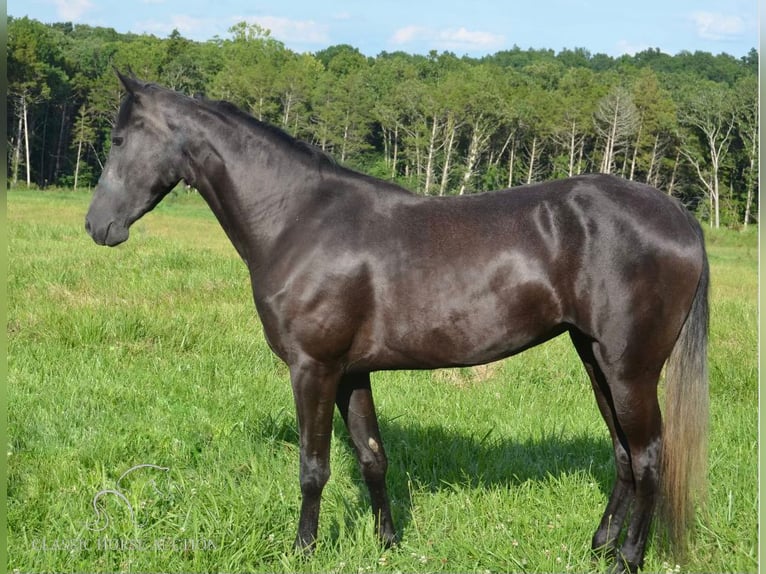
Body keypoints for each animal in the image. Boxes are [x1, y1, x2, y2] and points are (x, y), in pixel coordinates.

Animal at [87, 73, 712, 574]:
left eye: (118, 140)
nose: (97, 226)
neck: (298, 220)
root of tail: (680, 217)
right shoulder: (350, 372)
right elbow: (372, 457)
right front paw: (387, 543)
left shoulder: (313, 369)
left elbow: (313, 467)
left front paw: (303, 549)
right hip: (595, 358)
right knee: (623, 454)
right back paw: (597, 546)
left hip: (630, 368)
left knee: (649, 457)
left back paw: (627, 558)